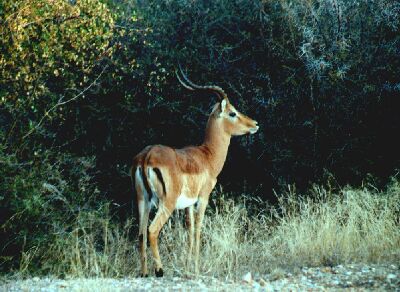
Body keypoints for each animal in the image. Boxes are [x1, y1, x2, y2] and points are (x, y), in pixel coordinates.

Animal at [131, 67, 260, 278]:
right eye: (232, 113)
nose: (255, 124)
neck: (207, 156)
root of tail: (146, 157)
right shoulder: (203, 198)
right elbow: (198, 230)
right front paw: (197, 269)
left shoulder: (188, 205)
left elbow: (190, 233)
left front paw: (189, 266)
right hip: (166, 203)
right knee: (151, 230)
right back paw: (159, 270)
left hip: (143, 200)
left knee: (141, 233)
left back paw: (144, 273)